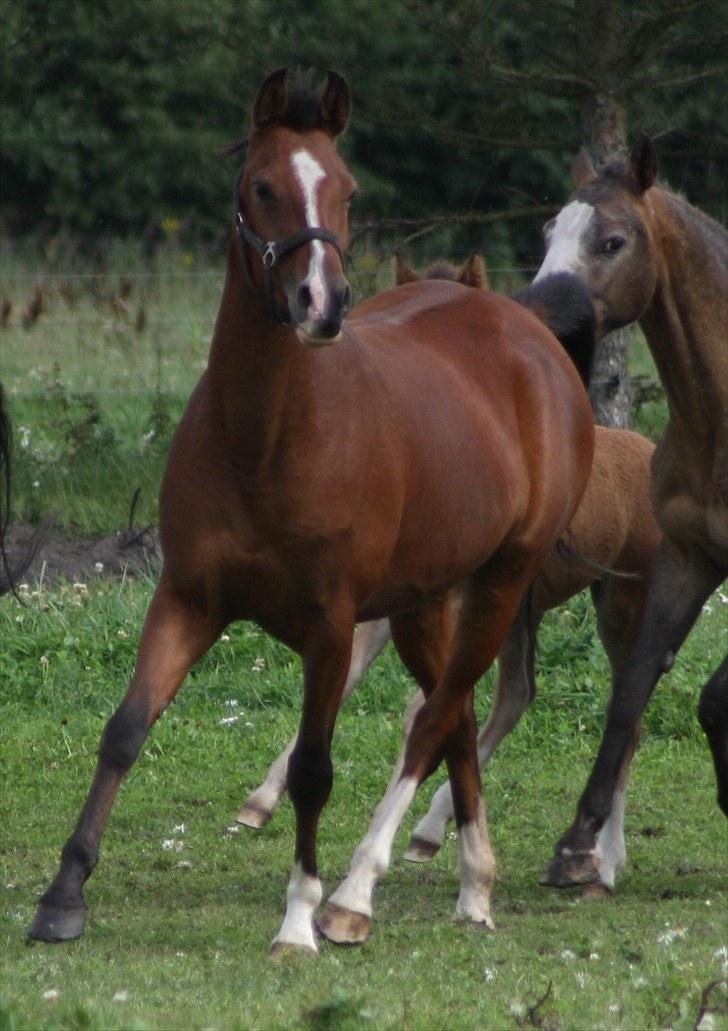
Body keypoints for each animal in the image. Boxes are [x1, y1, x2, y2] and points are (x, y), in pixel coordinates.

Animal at [29, 68, 593, 952]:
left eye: (348, 189)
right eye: (261, 186)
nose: (321, 301)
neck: (266, 440)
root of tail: (526, 331)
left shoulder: (330, 626)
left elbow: (313, 769)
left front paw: (297, 915)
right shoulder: (187, 598)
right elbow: (124, 728)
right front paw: (62, 895)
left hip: (501, 581)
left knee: (436, 717)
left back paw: (355, 895)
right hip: (423, 603)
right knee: (457, 714)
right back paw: (473, 885)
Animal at [238, 255, 659, 886]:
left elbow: (424, 708)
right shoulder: (389, 606)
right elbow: (361, 681)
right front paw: (263, 800)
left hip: (616, 607)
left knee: (624, 715)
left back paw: (603, 855)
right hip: (524, 614)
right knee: (520, 694)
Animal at [527, 132, 725, 890]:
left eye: (612, 241)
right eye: (548, 232)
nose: (540, 323)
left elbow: (712, 696)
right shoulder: (687, 560)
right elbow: (630, 694)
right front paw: (577, 846)